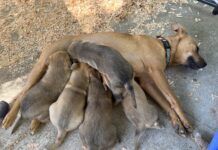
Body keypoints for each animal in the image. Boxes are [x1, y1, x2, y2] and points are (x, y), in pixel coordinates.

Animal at [2, 23, 206, 135]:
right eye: (197, 48)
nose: (205, 64)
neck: (164, 46)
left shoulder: (147, 81)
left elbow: (165, 103)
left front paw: (176, 122)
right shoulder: (156, 73)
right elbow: (174, 99)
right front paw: (185, 120)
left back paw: (35, 122)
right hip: (40, 67)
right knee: (23, 93)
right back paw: (9, 117)